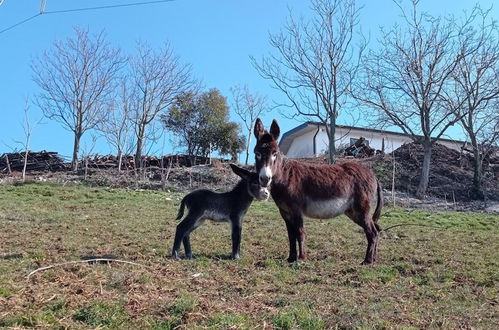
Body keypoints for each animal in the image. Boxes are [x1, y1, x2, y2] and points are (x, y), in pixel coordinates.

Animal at [254, 118, 382, 266]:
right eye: (257, 153)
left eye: (275, 153)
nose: (265, 179)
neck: (284, 176)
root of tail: (373, 175)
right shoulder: (285, 212)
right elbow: (291, 236)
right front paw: (291, 258)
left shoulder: (296, 210)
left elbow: (300, 233)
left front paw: (302, 259)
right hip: (353, 211)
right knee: (376, 229)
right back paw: (374, 259)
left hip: (361, 208)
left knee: (372, 232)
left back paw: (367, 261)